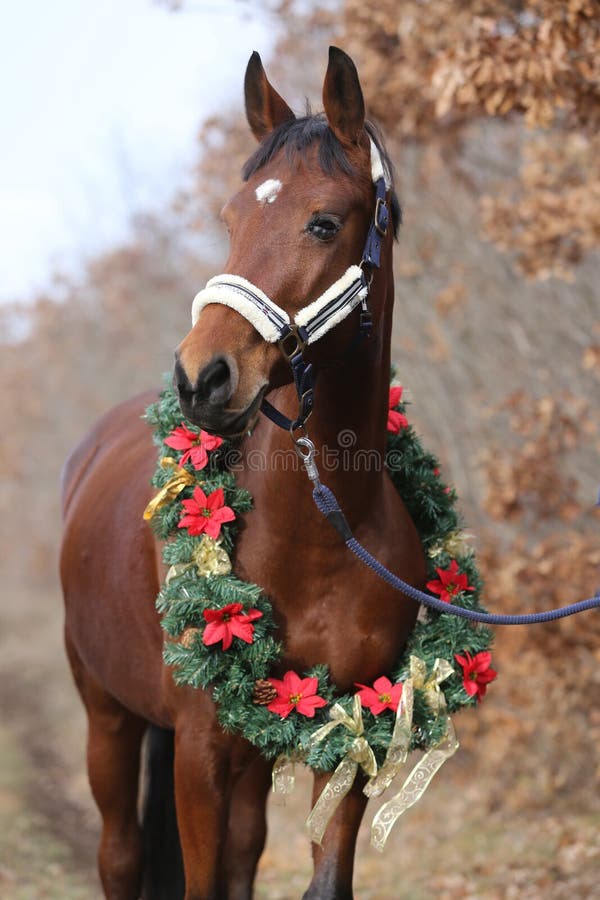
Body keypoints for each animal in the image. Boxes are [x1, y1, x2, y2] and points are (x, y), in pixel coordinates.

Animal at [59, 49, 426, 900]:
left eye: (324, 221)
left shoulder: (353, 733)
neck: (320, 530)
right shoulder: (200, 748)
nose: (202, 377)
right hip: (108, 714)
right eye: (229, 219)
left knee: (243, 853)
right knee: (120, 855)